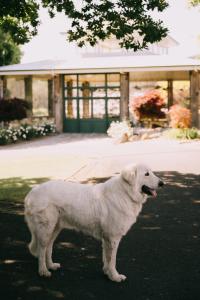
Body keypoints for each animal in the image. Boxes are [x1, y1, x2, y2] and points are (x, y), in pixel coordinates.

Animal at [24, 163, 162, 282]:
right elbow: (112, 260)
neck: (125, 193)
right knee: (42, 249)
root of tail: (32, 191)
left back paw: (51, 265)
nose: (162, 183)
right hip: (46, 228)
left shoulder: (107, 238)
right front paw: (115, 277)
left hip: (55, 228)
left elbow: (106, 258)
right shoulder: (113, 238)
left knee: (48, 246)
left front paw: (107, 273)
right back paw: (43, 271)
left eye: (151, 172)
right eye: (146, 174)